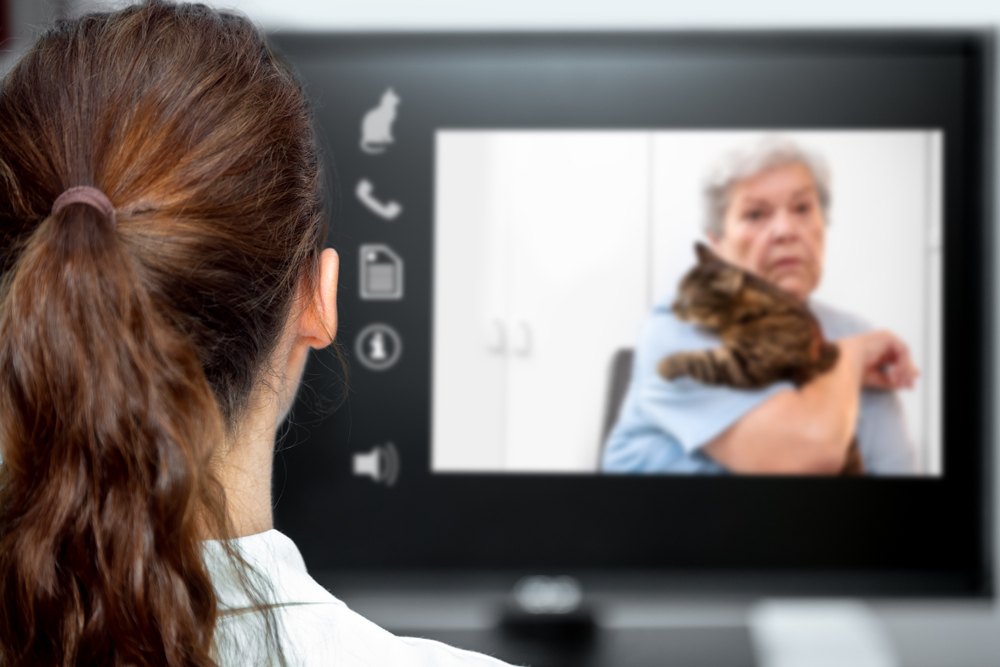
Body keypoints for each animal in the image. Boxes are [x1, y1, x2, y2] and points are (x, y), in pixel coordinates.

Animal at [660, 244, 864, 474]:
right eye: (677, 292)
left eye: (687, 300)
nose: (671, 307)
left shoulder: (745, 364)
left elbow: (701, 360)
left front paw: (666, 364)